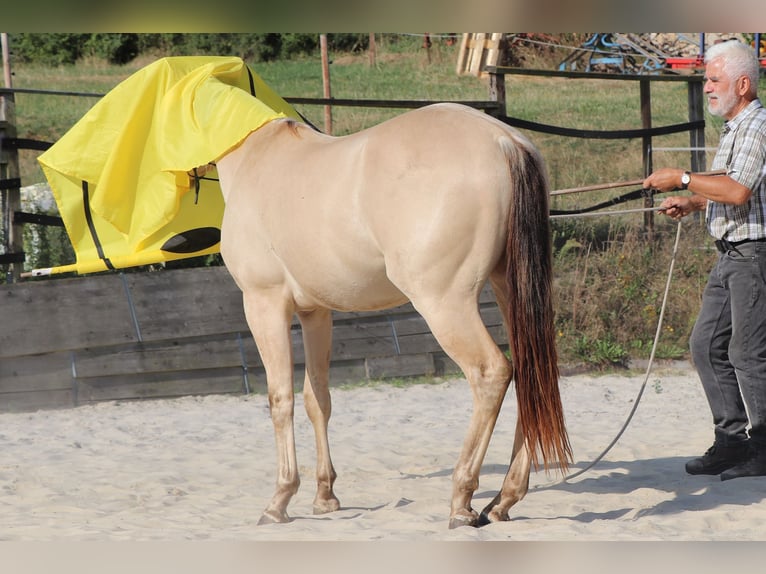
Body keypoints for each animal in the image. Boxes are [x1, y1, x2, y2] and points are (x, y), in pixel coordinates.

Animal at [215, 102, 572, 529]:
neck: (254, 156)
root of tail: (504, 140)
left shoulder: (264, 304)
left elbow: (279, 399)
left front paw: (280, 499)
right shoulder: (316, 312)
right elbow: (317, 399)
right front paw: (325, 497)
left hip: (444, 303)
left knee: (492, 374)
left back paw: (462, 498)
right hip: (509, 290)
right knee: (531, 376)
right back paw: (504, 499)